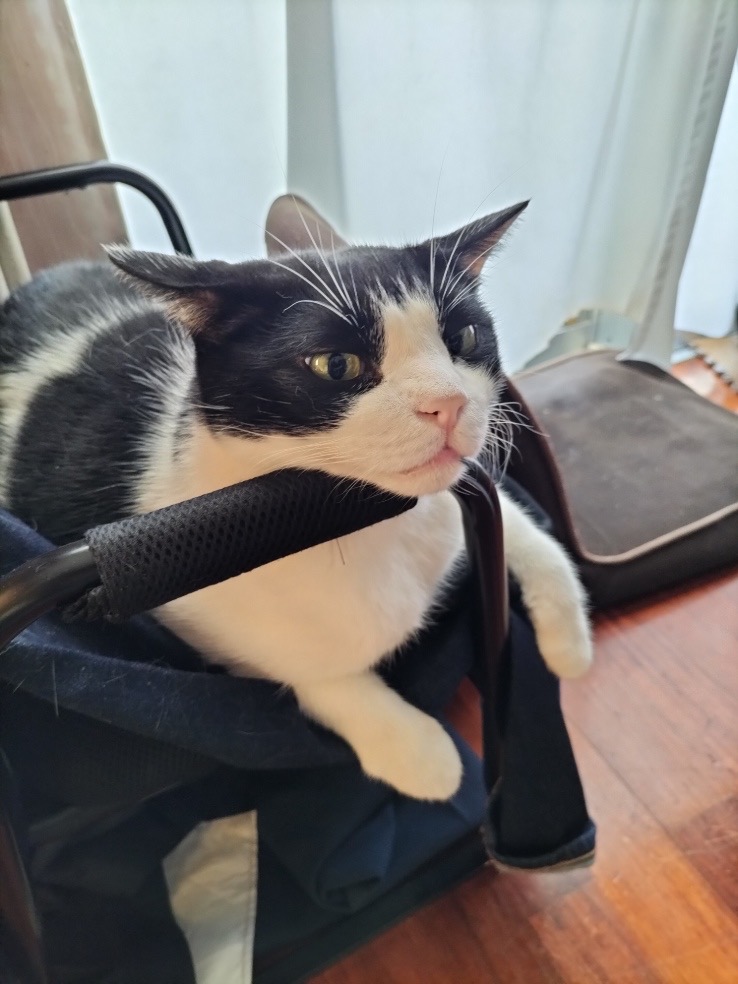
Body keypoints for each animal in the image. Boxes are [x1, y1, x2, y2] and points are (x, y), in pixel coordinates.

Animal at [0, 195, 592, 801]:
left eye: (466, 339)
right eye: (336, 364)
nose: (448, 404)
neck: (364, 526)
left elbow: (518, 526)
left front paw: (568, 636)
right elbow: (300, 666)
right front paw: (421, 754)